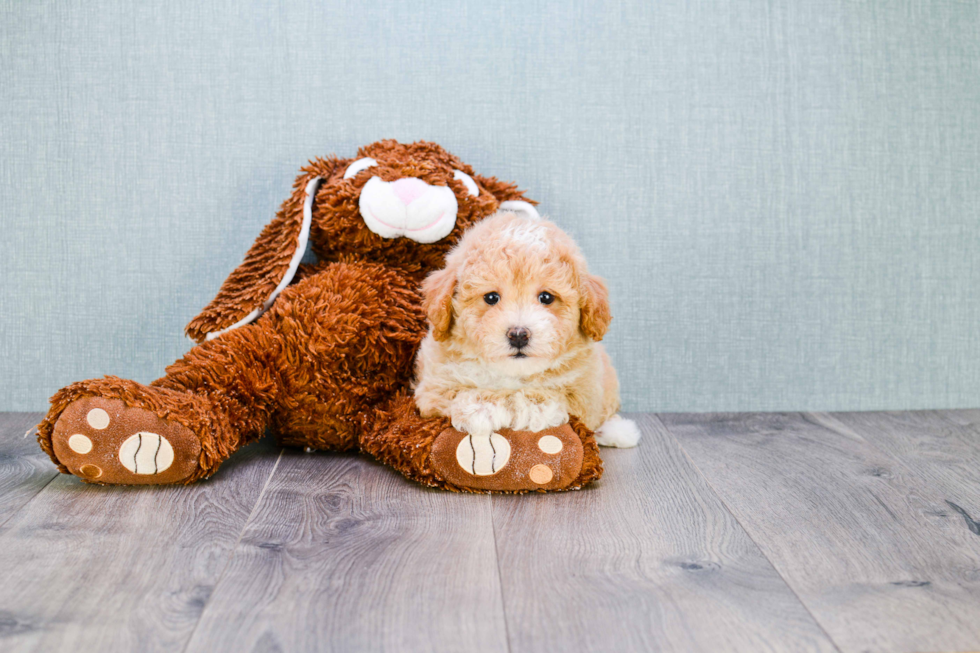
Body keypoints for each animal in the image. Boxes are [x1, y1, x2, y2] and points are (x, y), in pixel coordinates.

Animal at [416, 211, 640, 446]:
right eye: (491, 297)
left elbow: (533, 396)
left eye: (546, 297)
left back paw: (619, 431)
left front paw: (488, 407)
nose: (518, 335)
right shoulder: (433, 388)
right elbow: (460, 392)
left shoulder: (584, 395)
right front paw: (479, 407)